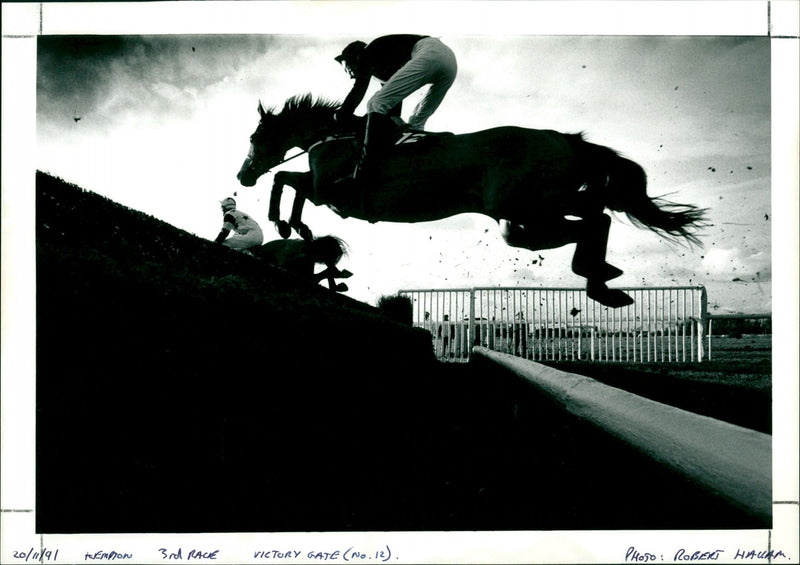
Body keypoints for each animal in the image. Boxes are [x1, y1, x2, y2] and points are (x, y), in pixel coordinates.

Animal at [238, 92, 708, 306]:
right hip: (536, 208)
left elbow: (285, 179)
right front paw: (296, 228)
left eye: (255, 137)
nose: (243, 176)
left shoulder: (330, 193)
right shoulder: (326, 193)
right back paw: (602, 279)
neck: (334, 136)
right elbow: (289, 181)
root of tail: (567, 140)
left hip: (526, 206)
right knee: (595, 217)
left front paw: (285, 223)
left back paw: (594, 277)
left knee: (591, 221)